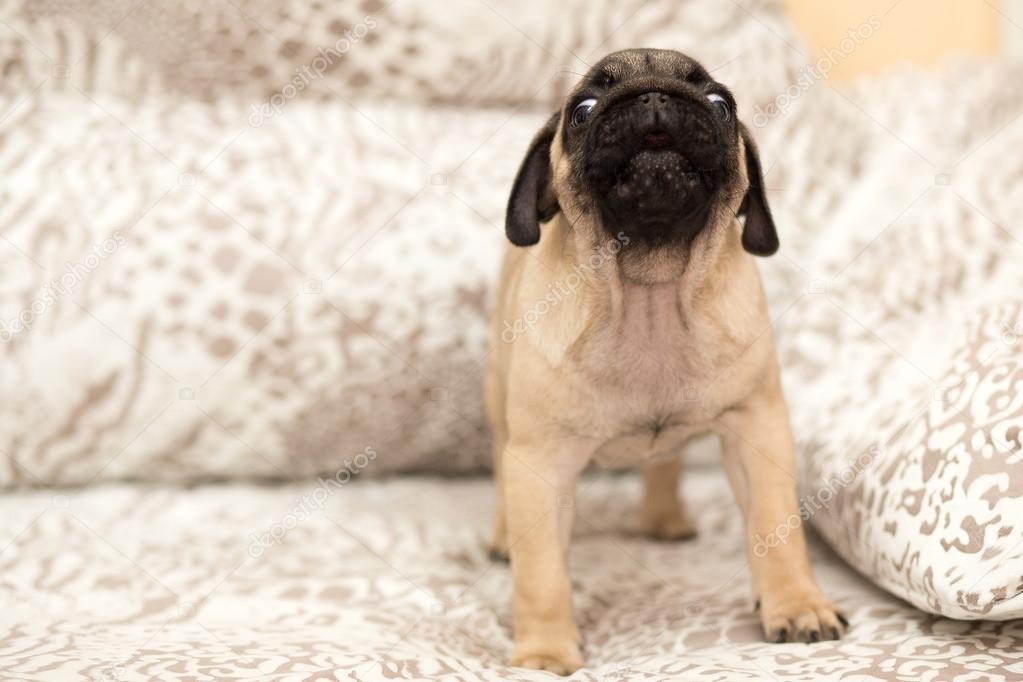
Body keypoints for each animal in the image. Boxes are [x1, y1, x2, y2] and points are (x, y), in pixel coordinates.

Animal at [486, 50, 847, 674]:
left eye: (722, 104)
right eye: (582, 110)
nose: (654, 94)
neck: (650, 293)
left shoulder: (758, 432)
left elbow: (776, 529)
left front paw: (797, 605)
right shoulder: (539, 463)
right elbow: (542, 576)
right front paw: (545, 652)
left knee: (666, 462)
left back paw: (665, 520)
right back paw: (502, 537)